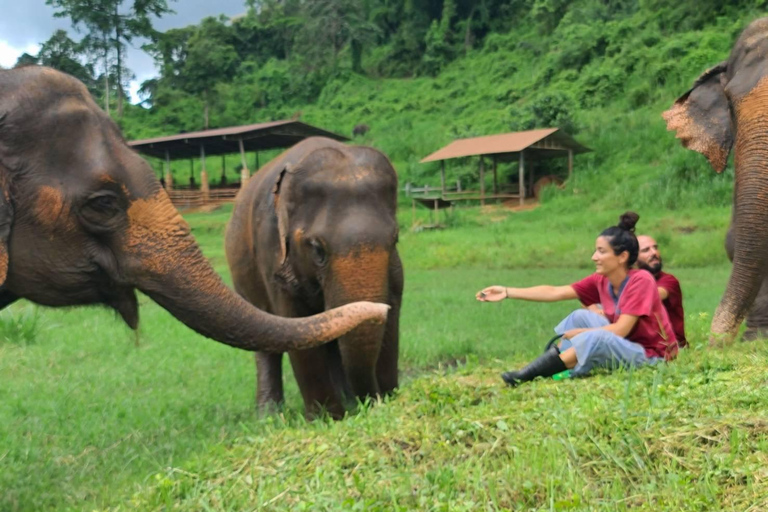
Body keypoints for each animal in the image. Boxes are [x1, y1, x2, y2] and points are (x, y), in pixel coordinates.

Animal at [225, 137, 403, 419]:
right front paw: (327, 418)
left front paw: (388, 398)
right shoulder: (272, 252)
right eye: (318, 249)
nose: (373, 400)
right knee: (266, 347)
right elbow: (295, 322)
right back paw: (268, 416)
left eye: (395, 238)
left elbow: (391, 311)